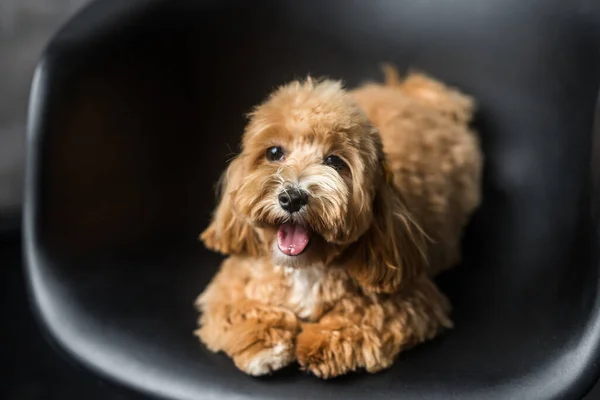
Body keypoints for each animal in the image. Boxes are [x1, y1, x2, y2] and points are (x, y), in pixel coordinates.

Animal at [195, 68, 480, 378]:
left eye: (334, 161)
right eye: (274, 153)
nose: (292, 197)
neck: (306, 267)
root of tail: (409, 93)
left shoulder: (412, 298)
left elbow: (367, 313)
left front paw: (318, 342)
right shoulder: (233, 280)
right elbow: (238, 306)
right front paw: (264, 343)